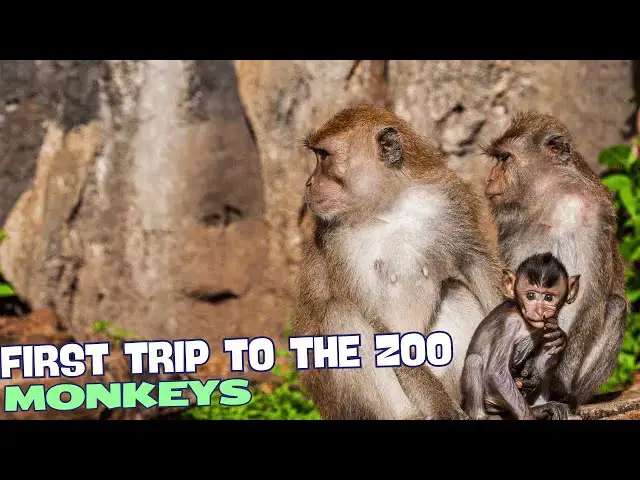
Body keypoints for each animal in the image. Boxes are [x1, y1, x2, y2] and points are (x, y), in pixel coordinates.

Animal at [291, 104, 506, 420]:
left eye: (324, 156)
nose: (308, 183)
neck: (387, 207)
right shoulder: (340, 243)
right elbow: (374, 319)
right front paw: (444, 411)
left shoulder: (447, 201)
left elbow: (475, 263)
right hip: (347, 407)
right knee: (340, 315)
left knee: (456, 292)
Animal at [461, 252, 579, 420]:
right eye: (530, 295)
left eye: (549, 298)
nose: (539, 311)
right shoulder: (509, 324)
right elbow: (498, 372)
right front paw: (528, 416)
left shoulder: (548, 324)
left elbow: (542, 363)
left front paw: (559, 338)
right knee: (474, 361)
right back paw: (479, 415)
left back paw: (538, 408)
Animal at [482, 111, 629, 413]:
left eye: (505, 158)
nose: (489, 178)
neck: (551, 202)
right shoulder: (513, 228)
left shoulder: (595, 215)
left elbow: (590, 296)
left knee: (615, 305)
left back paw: (560, 393)